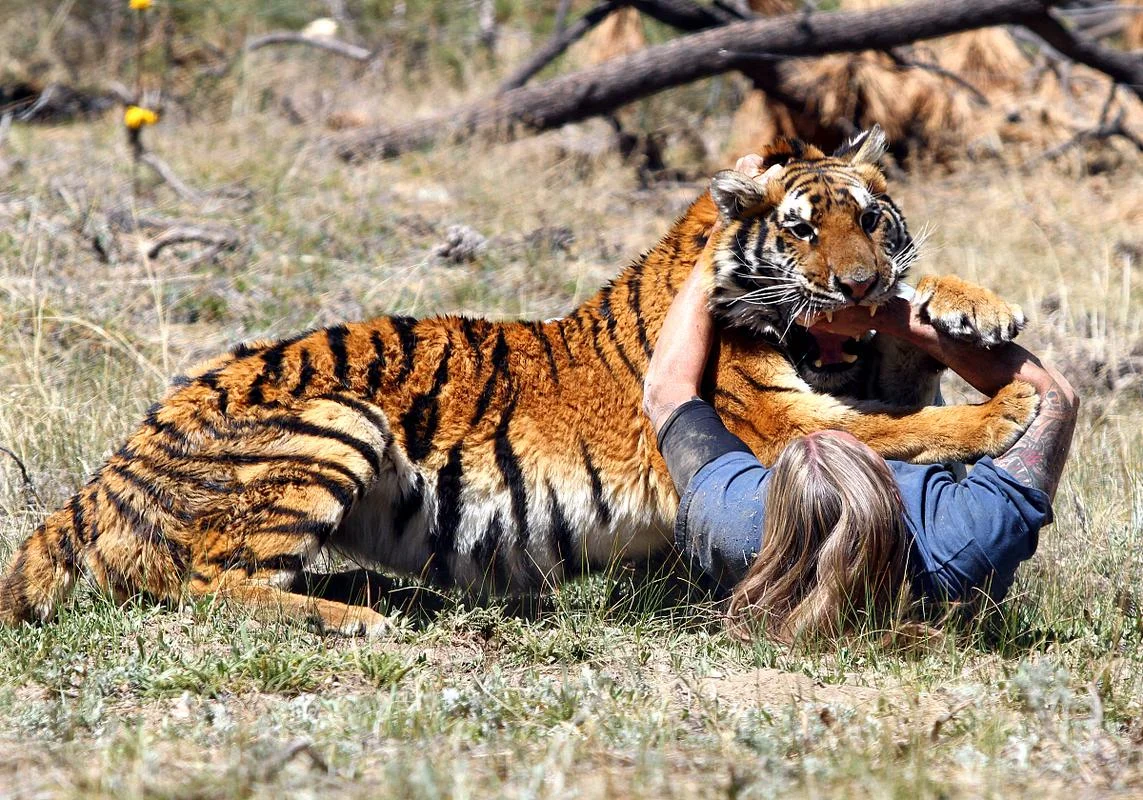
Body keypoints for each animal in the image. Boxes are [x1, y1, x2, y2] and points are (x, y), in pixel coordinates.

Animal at [0, 127, 1034, 635]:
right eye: (800, 228)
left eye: (869, 218)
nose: (853, 285)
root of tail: (105, 473)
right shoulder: (778, 426)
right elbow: (898, 431)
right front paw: (1012, 405)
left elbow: (909, 362)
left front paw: (972, 309)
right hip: (336, 415)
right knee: (209, 585)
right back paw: (355, 621)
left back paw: (382, 598)